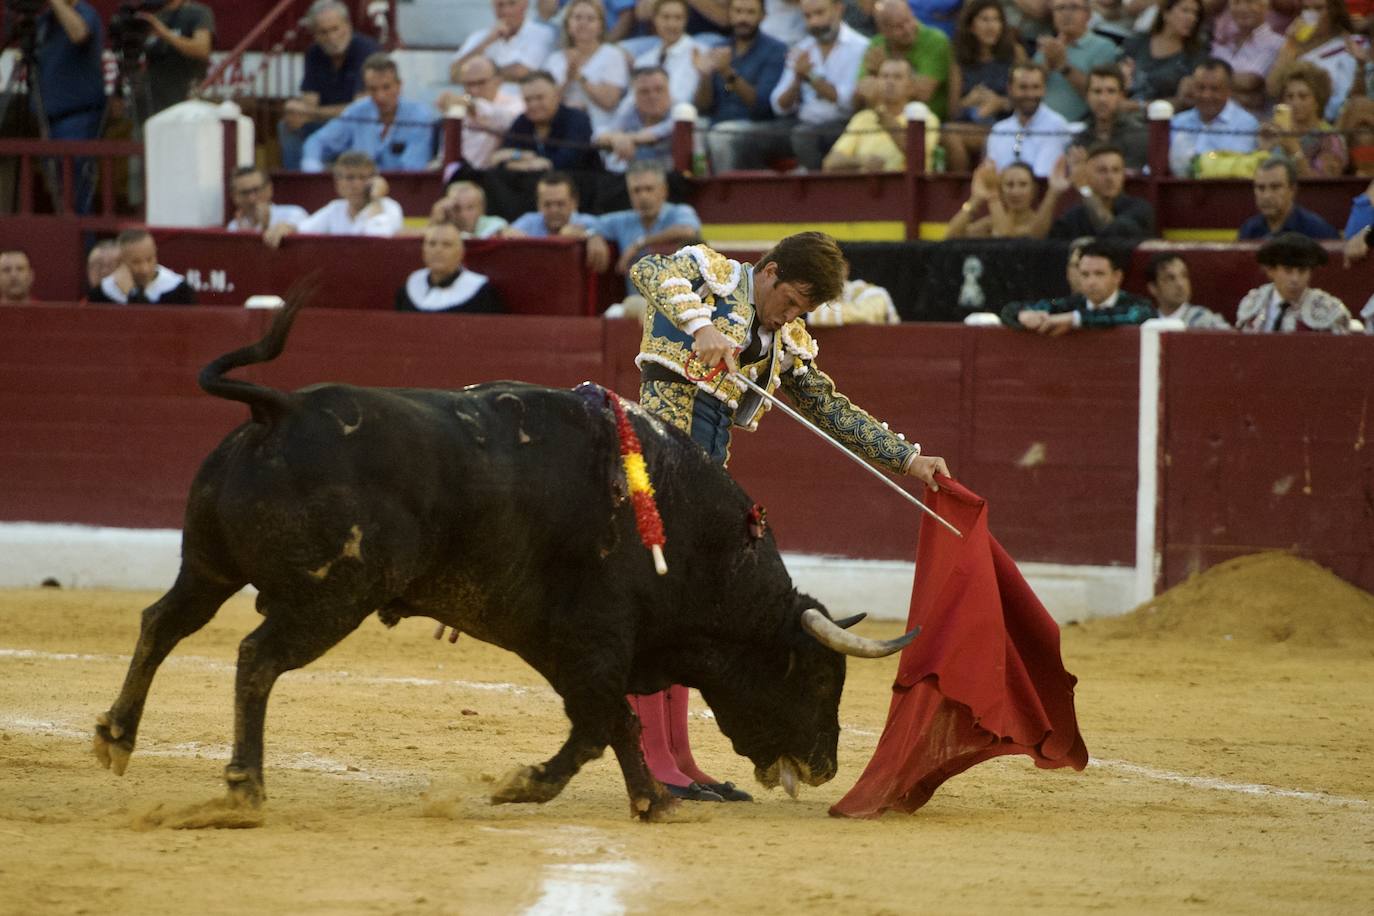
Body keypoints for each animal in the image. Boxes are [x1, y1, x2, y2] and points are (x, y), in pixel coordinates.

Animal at [94, 300, 912, 823]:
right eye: (818, 677)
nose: (827, 766)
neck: (693, 538)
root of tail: (281, 409)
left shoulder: (559, 643)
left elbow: (610, 723)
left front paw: (648, 800)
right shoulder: (595, 640)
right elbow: (602, 724)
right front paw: (532, 787)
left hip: (208, 566)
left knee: (163, 623)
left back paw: (115, 739)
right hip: (328, 599)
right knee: (256, 657)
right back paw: (242, 788)